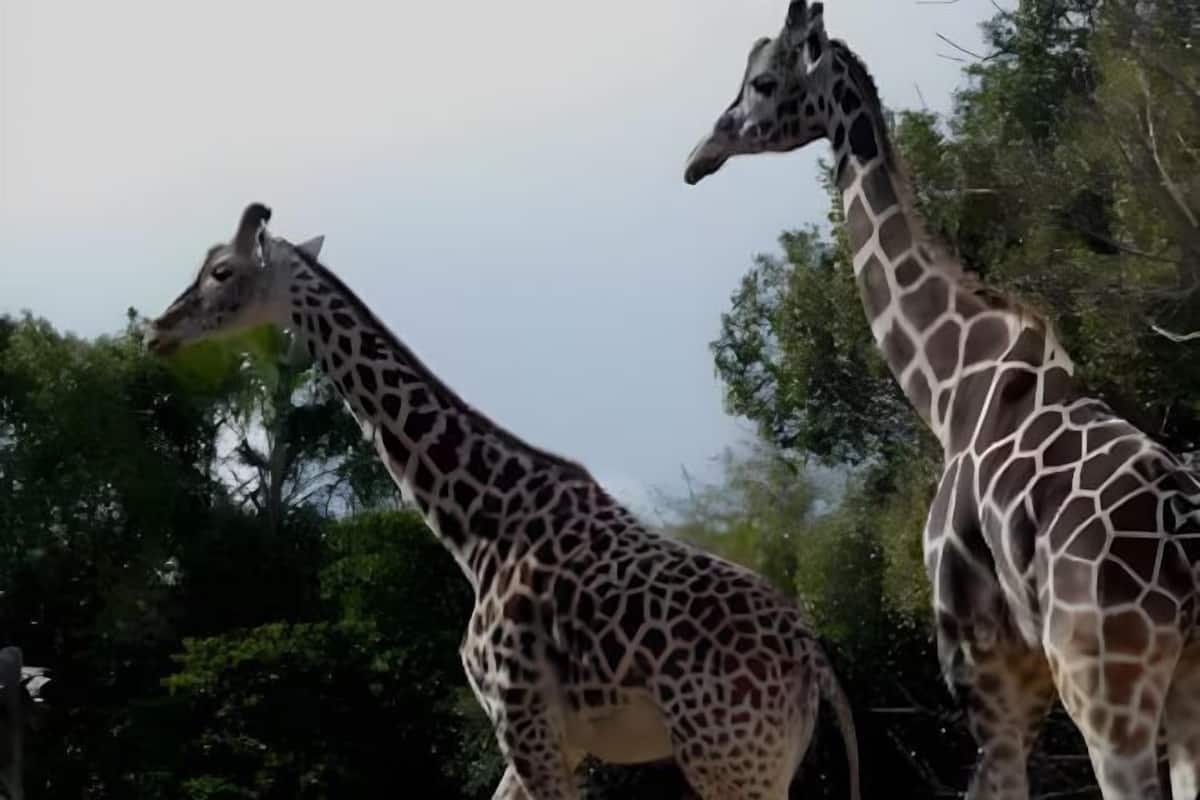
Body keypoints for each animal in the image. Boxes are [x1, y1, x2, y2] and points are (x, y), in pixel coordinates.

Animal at [143, 203, 861, 800]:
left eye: (221, 271)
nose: (157, 331)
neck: (479, 527)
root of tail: (813, 659)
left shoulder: (524, 721)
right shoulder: (546, 742)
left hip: (727, 759)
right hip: (762, 762)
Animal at [682, 2, 1200, 798]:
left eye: (763, 82)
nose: (702, 153)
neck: (947, 388)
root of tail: (1187, 559)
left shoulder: (987, 676)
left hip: (1105, 693)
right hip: (1181, 692)